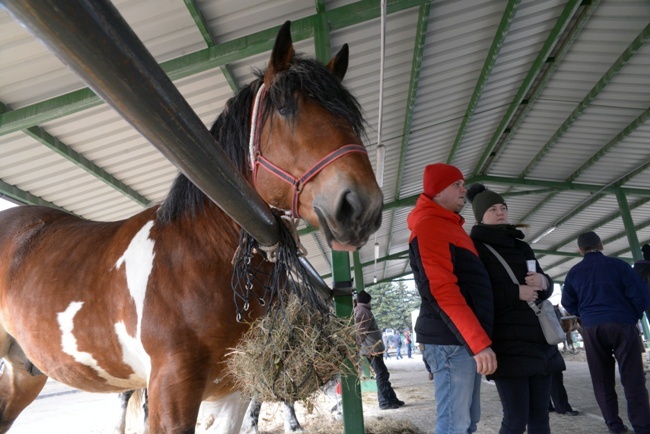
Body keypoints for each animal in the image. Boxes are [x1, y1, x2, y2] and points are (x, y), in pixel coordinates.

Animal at [0, 21, 380, 434]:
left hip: (23, 374)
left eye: (350, 117)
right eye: (285, 107)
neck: (196, 253)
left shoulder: (234, 390)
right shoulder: (171, 388)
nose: (361, 206)